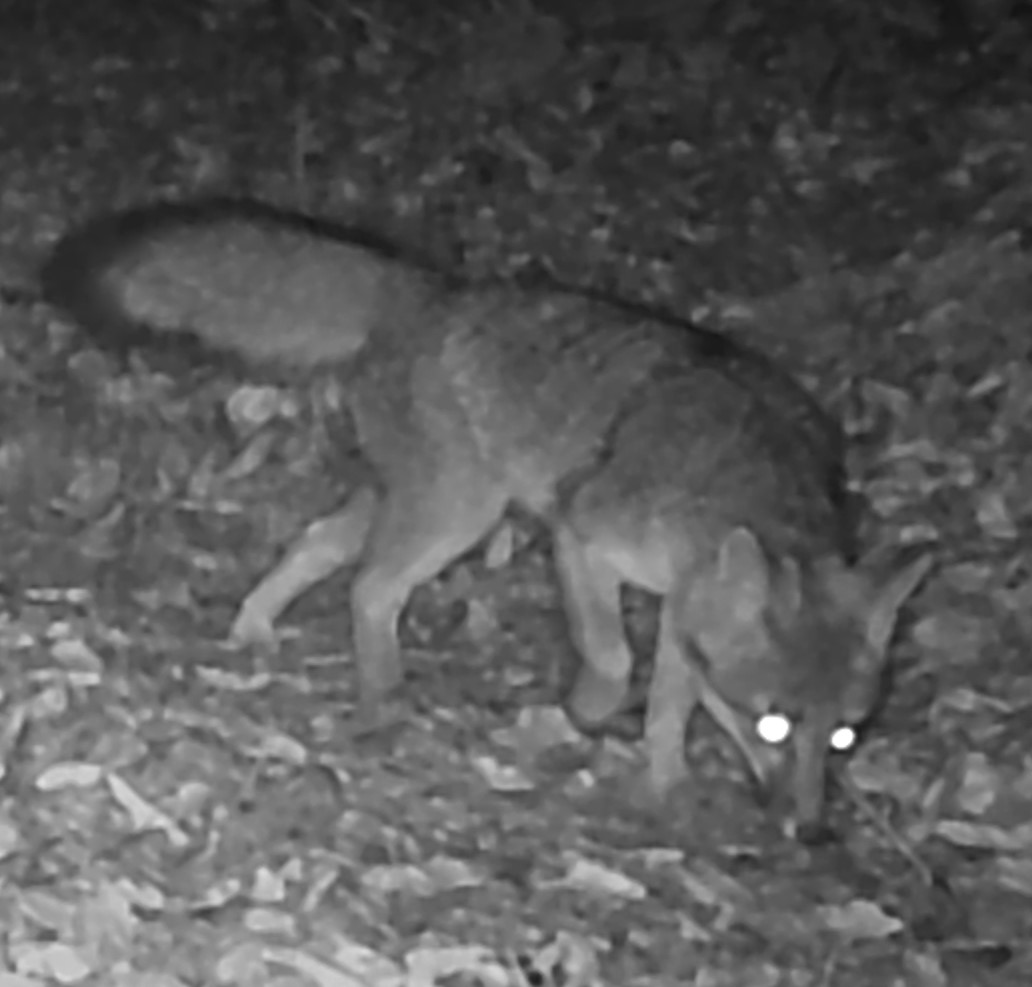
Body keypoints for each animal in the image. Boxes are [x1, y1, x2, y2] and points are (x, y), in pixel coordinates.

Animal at [42, 198, 930, 840]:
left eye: (844, 738)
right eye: (774, 725)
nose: (812, 832)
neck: (742, 487)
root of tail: (433, 289)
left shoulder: (683, 606)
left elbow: (671, 707)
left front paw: (664, 782)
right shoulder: (582, 538)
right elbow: (613, 660)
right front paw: (578, 716)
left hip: (423, 502)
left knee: (320, 545)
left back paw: (256, 629)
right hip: (461, 515)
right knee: (370, 586)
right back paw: (382, 693)